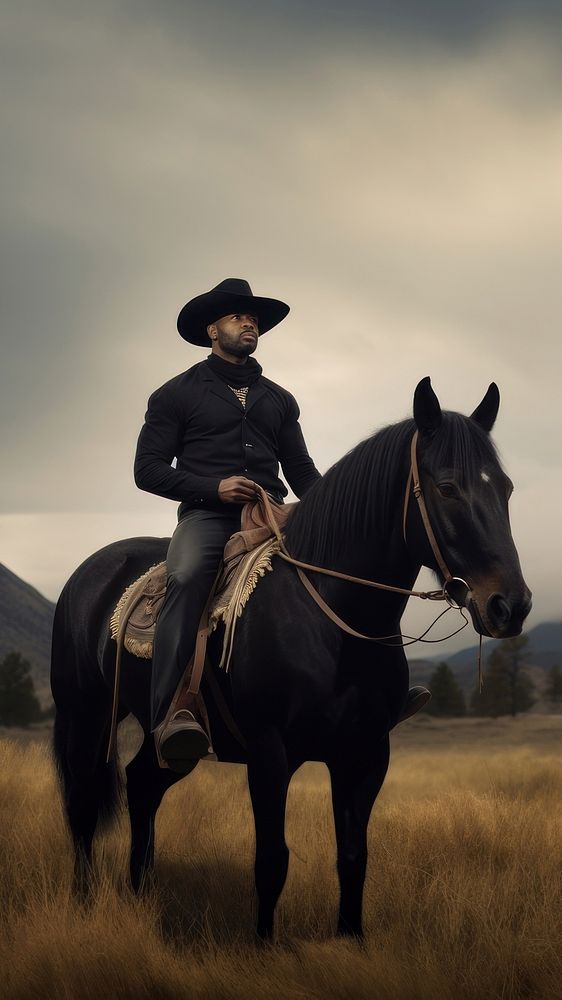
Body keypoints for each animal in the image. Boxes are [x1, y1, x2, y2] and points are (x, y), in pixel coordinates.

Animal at [49, 378, 528, 940]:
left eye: (506, 488)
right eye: (448, 488)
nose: (511, 605)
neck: (332, 621)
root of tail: (90, 571)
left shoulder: (366, 754)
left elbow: (353, 857)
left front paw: (350, 939)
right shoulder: (269, 753)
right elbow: (271, 861)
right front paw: (263, 945)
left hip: (168, 737)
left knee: (144, 784)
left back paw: (141, 896)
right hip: (86, 716)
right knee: (83, 806)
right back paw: (84, 903)